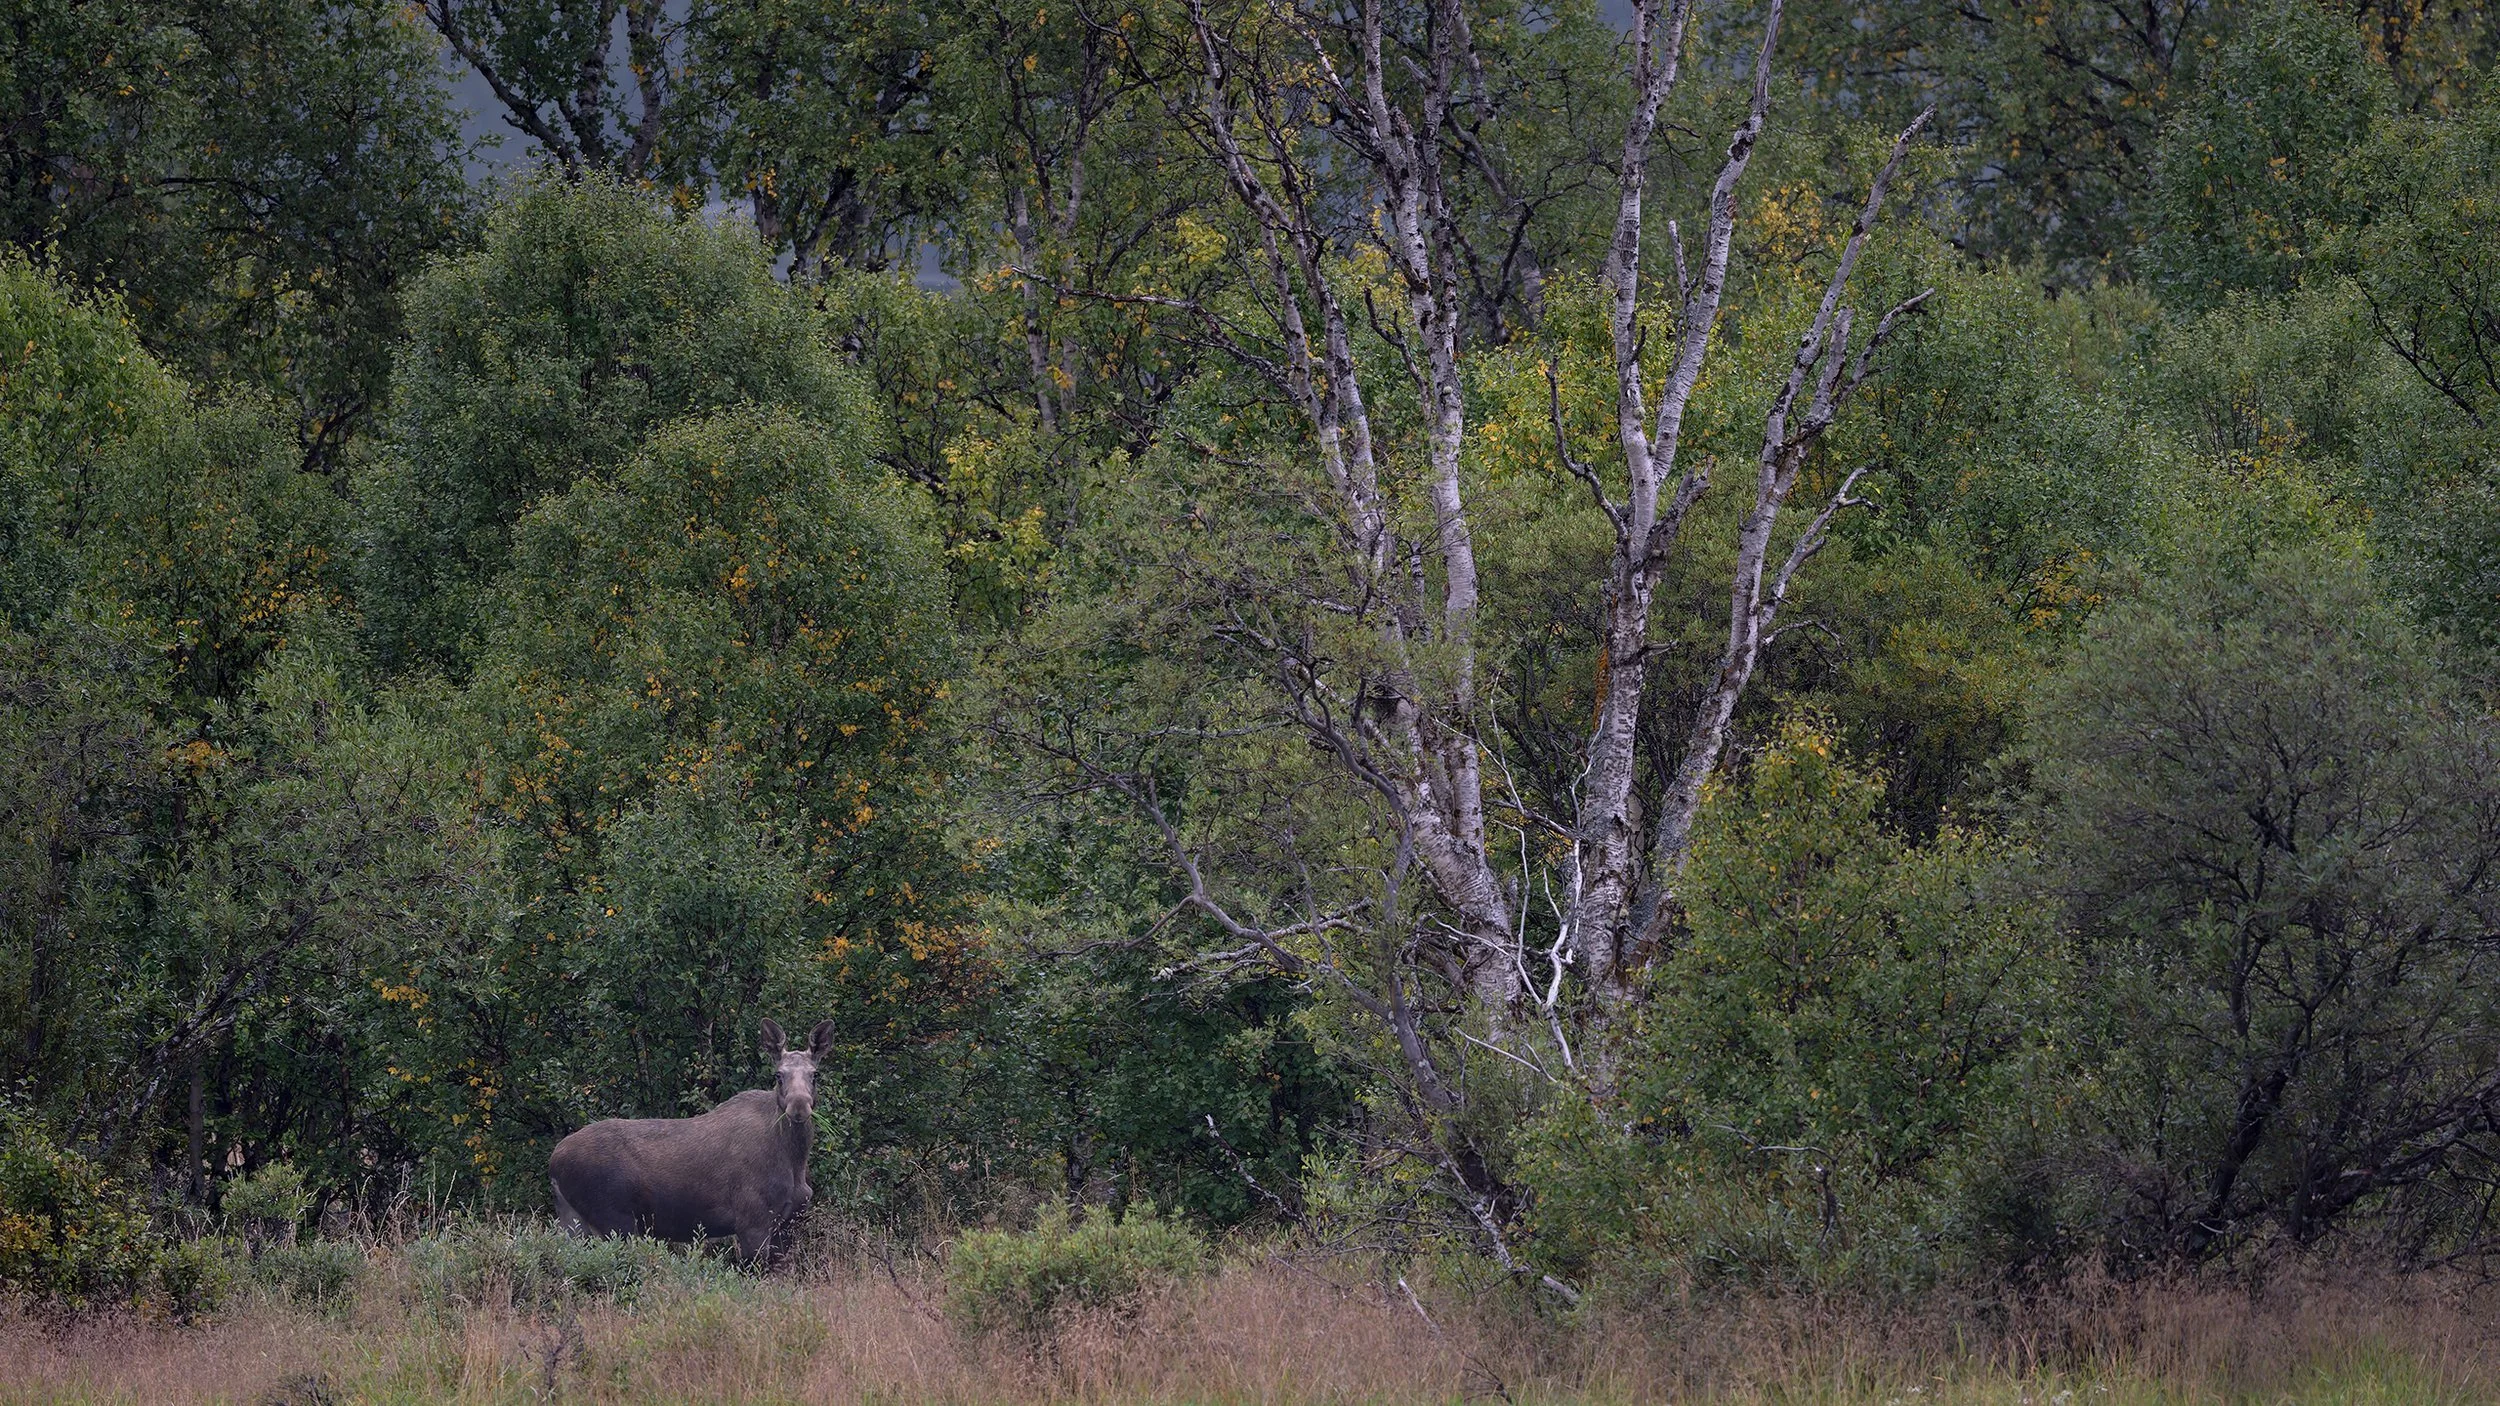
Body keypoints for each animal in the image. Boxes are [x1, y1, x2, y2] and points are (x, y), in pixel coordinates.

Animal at [548, 1017, 833, 1264]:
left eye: (815, 1074)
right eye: (778, 1075)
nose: (799, 1107)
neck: (795, 1161)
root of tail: (554, 1161)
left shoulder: (787, 1222)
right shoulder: (753, 1221)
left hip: (572, 1219)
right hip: (614, 1218)